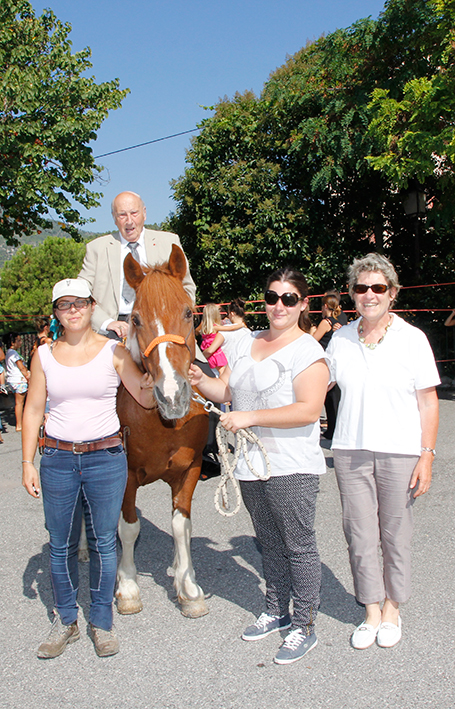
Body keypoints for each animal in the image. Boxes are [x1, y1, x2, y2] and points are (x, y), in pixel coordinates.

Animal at [116, 242, 211, 612]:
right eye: (135, 319)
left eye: (188, 312)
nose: (172, 395)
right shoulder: (125, 475)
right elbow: (128, 528)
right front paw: (127, 586)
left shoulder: (190, 469)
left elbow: (180, 524)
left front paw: (188, 585)